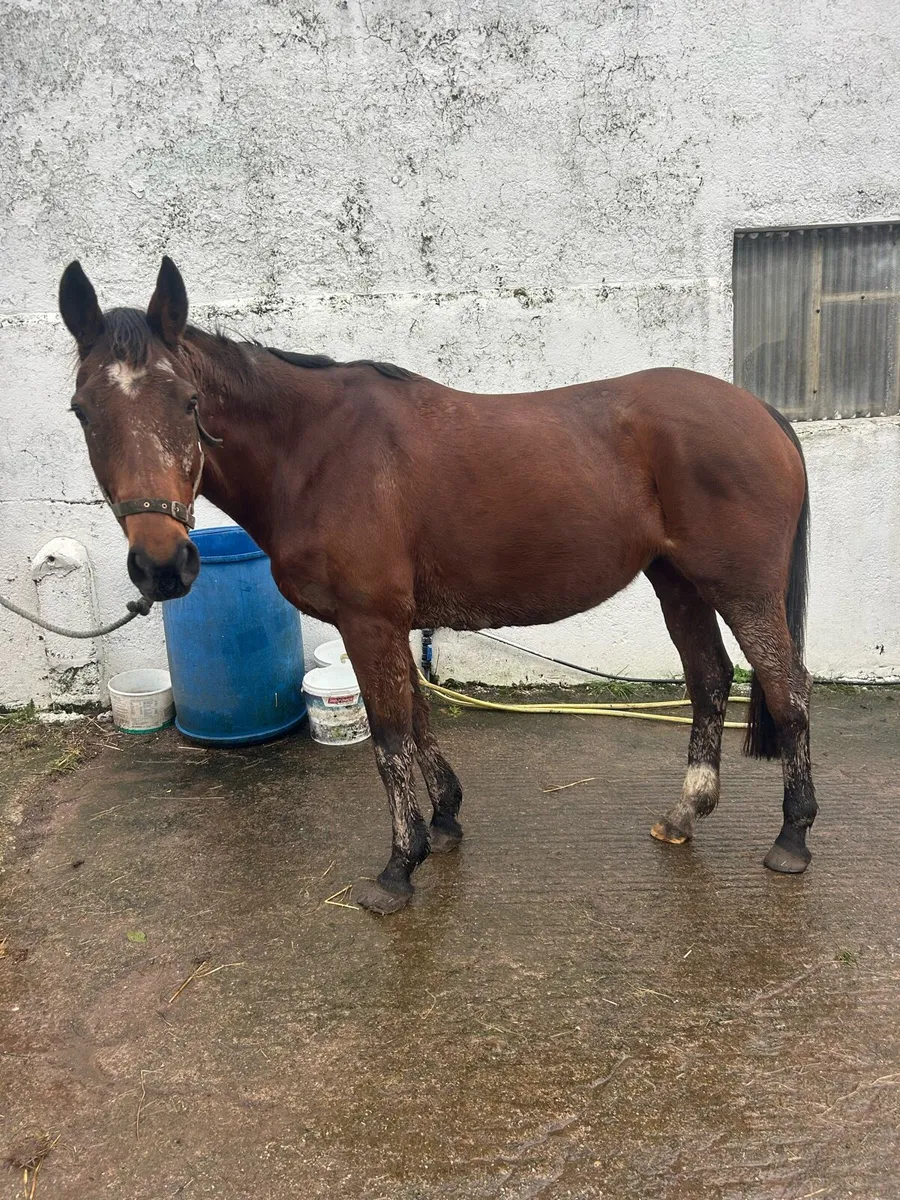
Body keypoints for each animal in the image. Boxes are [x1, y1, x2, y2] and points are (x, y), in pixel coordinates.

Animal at [57, 256, 816, 914]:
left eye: (189, 403)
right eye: (82, 411)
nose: (162, 564)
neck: (314, 450)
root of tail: (761, 413)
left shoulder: (368, 621)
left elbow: (391, 737)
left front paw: (399, 866)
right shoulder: (390, 623)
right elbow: (418, 720)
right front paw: (445, 820)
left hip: (743, 590)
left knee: (787, 689)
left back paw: (793, 835)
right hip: (678, 582)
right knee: (710, 679)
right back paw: (685, 812)